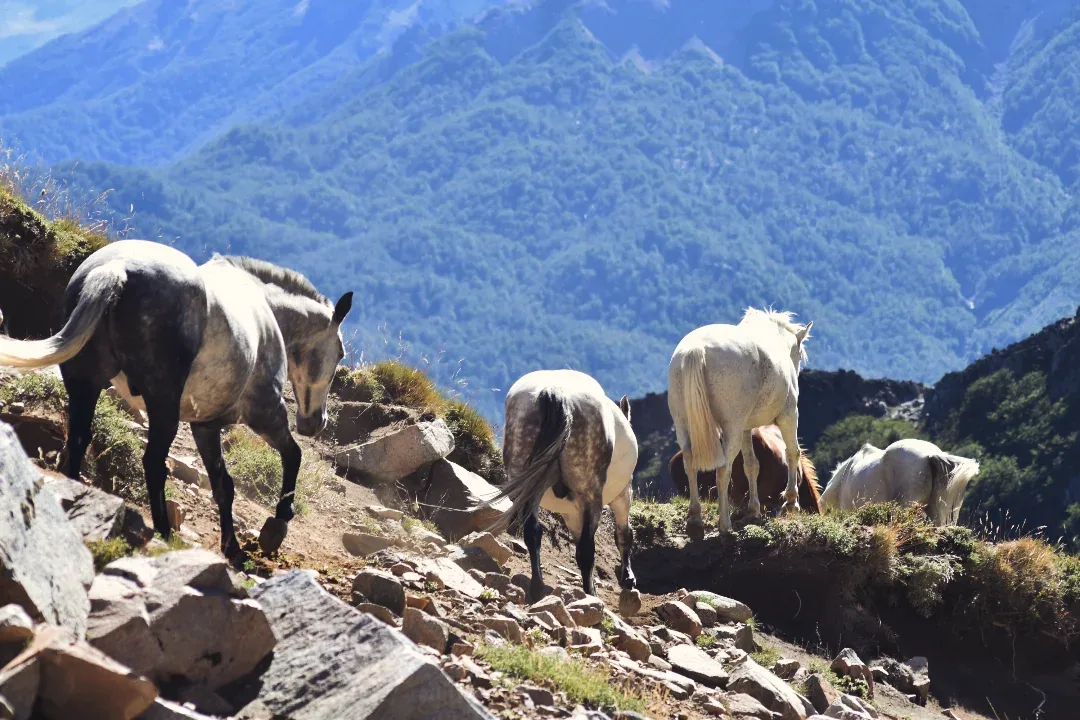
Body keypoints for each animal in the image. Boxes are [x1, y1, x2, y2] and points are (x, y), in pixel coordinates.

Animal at [0, 239, 352, 557]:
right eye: (340, 353)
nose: (315, 423)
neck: (266, 313)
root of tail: (116, 269)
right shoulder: (266, 413)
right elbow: (292, 455)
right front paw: (277, 525)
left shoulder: (205, 427)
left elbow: (224, 486)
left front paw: (233, 548)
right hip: (163, 406)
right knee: (153, 463)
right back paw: (164, 532)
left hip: (83, 383)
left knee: (78, 439)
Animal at [489, 369, 637, 601]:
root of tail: (555, 392)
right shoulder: (622, 493)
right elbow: (624, 533)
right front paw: (628, 578)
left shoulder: (570, 512)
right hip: (590, 491)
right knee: (587, 549)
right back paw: (589, 593)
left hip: (528, 480)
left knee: (533, 533)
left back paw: (538, 587)